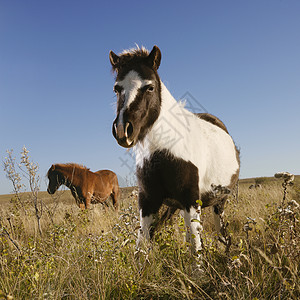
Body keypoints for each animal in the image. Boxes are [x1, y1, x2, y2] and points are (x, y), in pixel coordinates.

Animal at [109, 45, 240, 254]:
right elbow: (142, 246)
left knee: (221, 232)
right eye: (116, 88)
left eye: (150, 87)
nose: (123, 130)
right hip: (174, 206)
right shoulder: (147, 201)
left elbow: (196, 249)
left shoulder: (191, 201)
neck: (162, 151)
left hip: (219, 202)